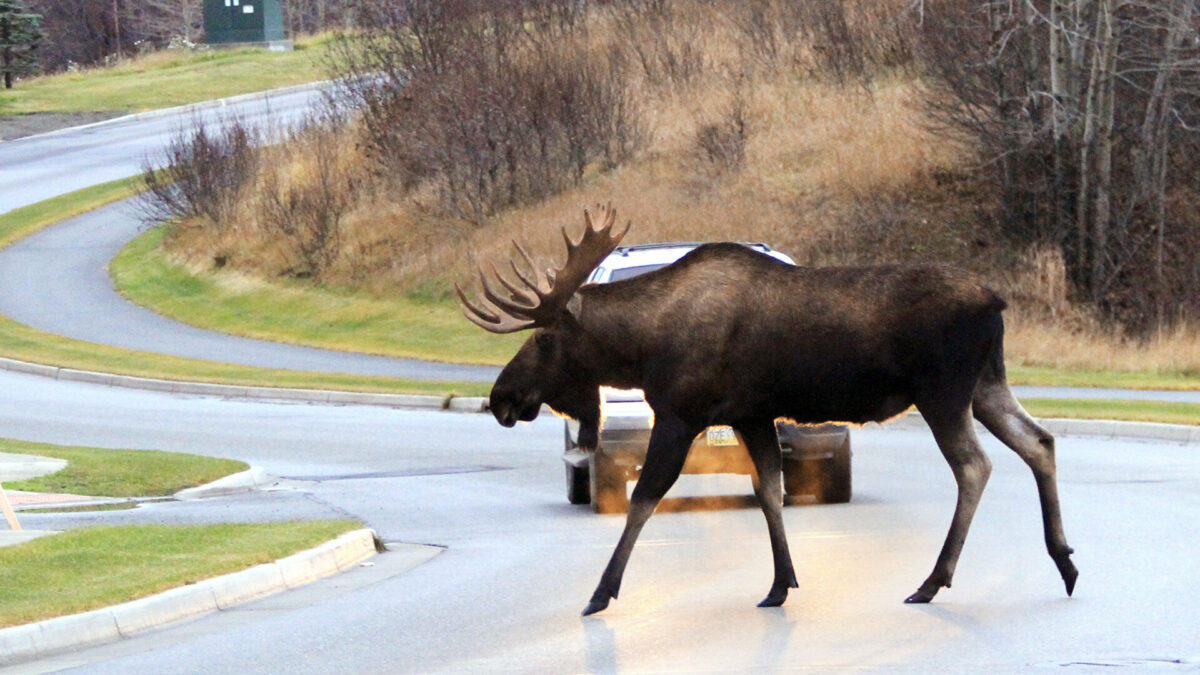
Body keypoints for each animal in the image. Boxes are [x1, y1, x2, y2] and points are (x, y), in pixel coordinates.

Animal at [458, 204, 1080, 614]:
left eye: (543, 340)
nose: (501, 397)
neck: (642, 347)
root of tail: (996, 302)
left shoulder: (681, 413)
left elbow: (644, 499)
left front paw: (600, 593)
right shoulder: (750, 413)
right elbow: (769, 491)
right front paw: (781, 585)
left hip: (943, 391)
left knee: (975, 466)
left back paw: (933, 580)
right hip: (986, 384)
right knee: (1039, 440)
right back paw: (1065, 561)